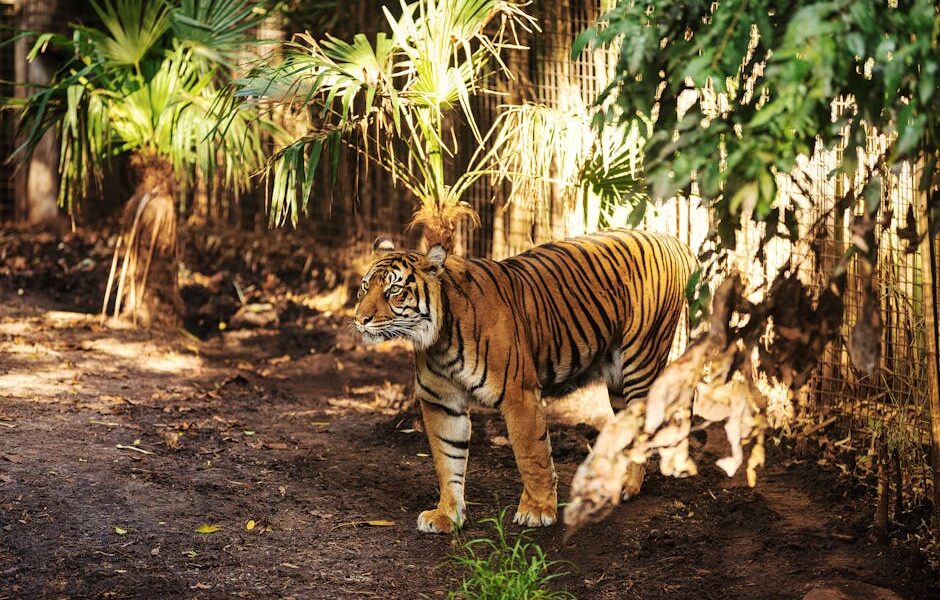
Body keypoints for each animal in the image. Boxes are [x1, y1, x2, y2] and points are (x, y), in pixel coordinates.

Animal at [353, 229, 696, 533]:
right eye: (364, 288)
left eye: (394, 290)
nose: (360, 320)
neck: (439, 340)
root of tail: (672, 239)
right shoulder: (441, 402)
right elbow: (447, 458)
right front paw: (447, 515)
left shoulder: (519, 394)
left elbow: (532, 455)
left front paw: (537, 510)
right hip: (617, 380)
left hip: (640, 360)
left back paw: (629, 486)